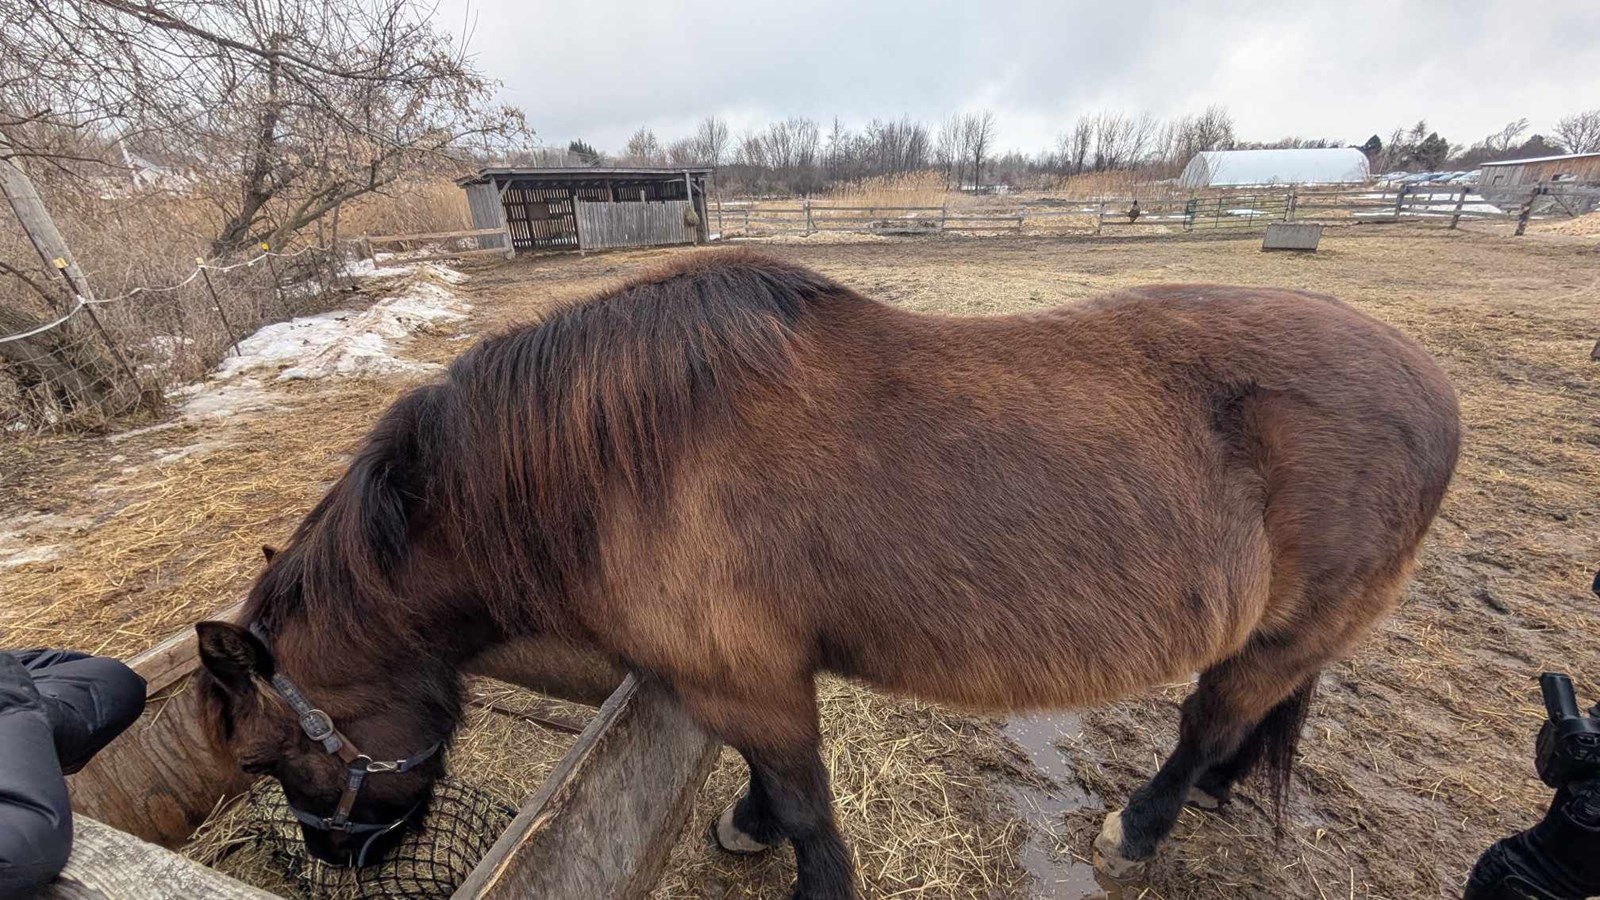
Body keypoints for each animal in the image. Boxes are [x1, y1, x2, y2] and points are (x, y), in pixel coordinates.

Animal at [195, 250, 1459, 899]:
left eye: (272, 757)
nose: (343, 859)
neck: (619, 463)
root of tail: (1429, 386)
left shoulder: (749, 680)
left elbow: (807, 801)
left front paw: (807, 871)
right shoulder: (744, 681)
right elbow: (769, 782)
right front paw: (747, 824)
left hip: (1288, 633)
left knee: (1204, 725)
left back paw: (1139, 829)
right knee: (1234, 727)